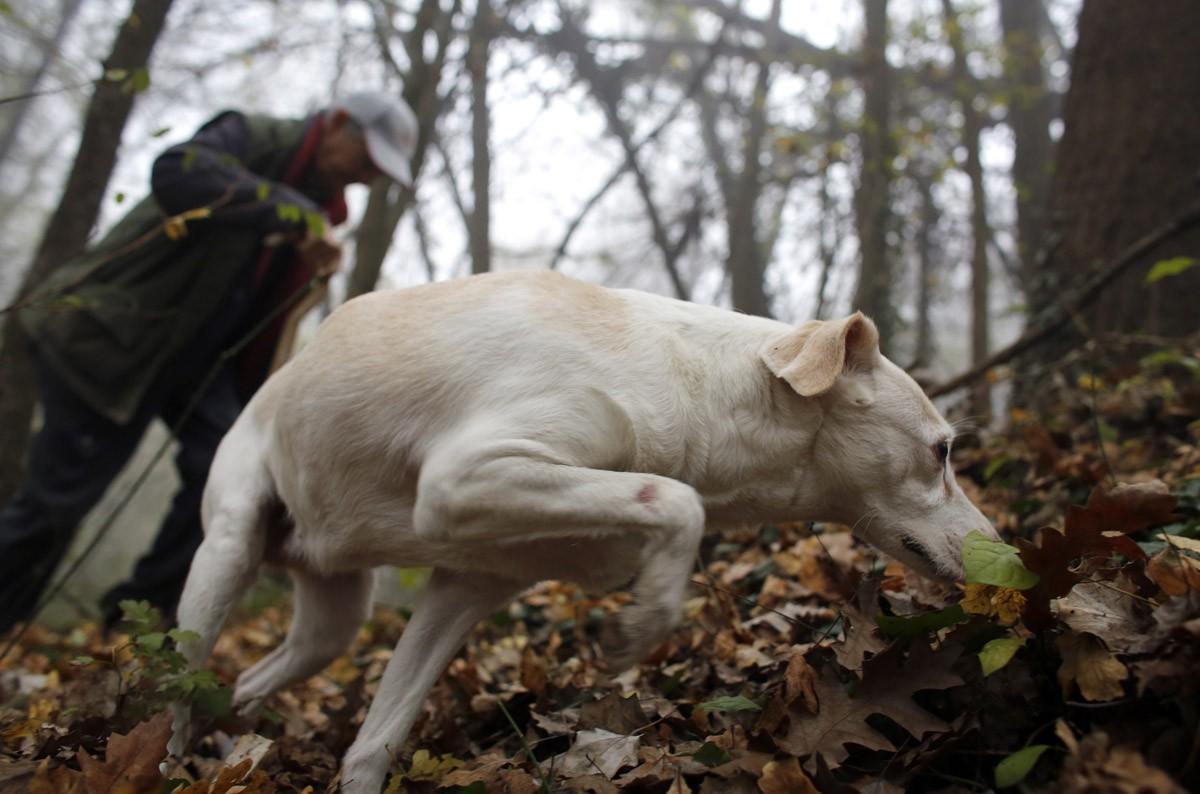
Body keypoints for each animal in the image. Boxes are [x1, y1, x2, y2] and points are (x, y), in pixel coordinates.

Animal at [169, 271, 993, 791]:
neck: (701, 385)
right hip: (226, 557)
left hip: (334, 623)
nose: (1004, 552)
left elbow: (374, 746)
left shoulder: (468, 585)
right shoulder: (464, 478)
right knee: (175, 692)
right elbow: (677, 501)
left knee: (245, 681)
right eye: (942, 451)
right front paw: (645, 621)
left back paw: (233, 748)